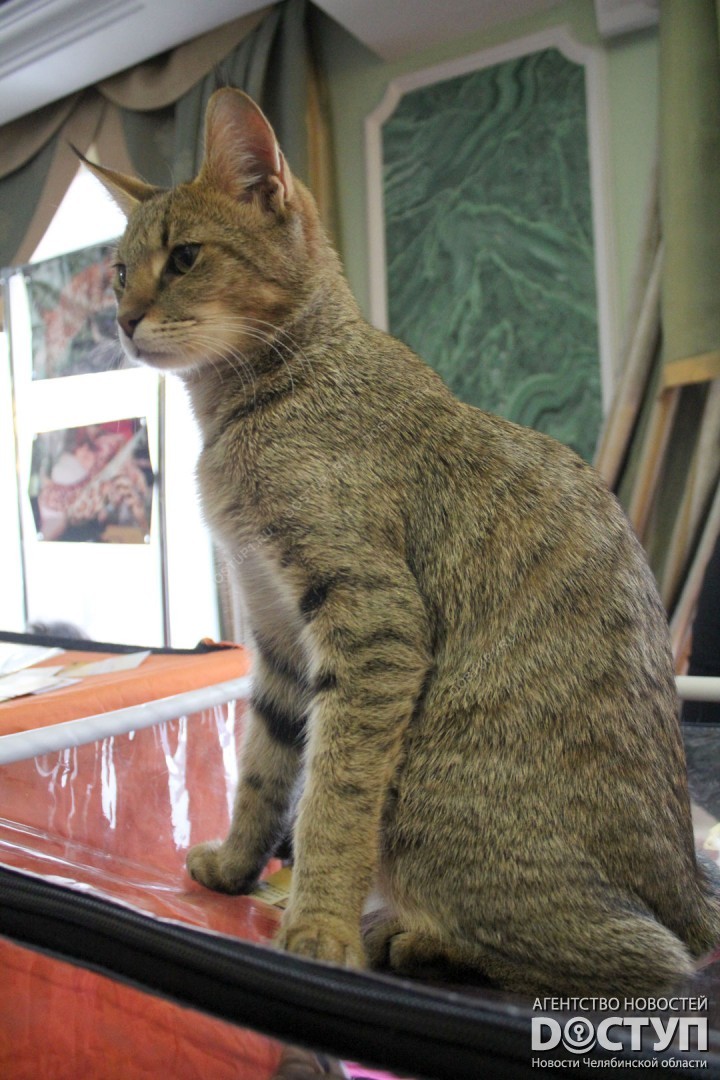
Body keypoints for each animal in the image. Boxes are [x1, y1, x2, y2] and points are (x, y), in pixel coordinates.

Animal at [81, 88, 720, 995]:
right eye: (118, 272)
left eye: (186, 257)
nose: (124, 320)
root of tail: (693, 893)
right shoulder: (277, 636)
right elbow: (263, 771)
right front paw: (239, 868)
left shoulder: (370, 622)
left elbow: (331, 799)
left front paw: (318, 923)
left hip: (427, 794)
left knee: (647, 963)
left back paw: (410, 938)